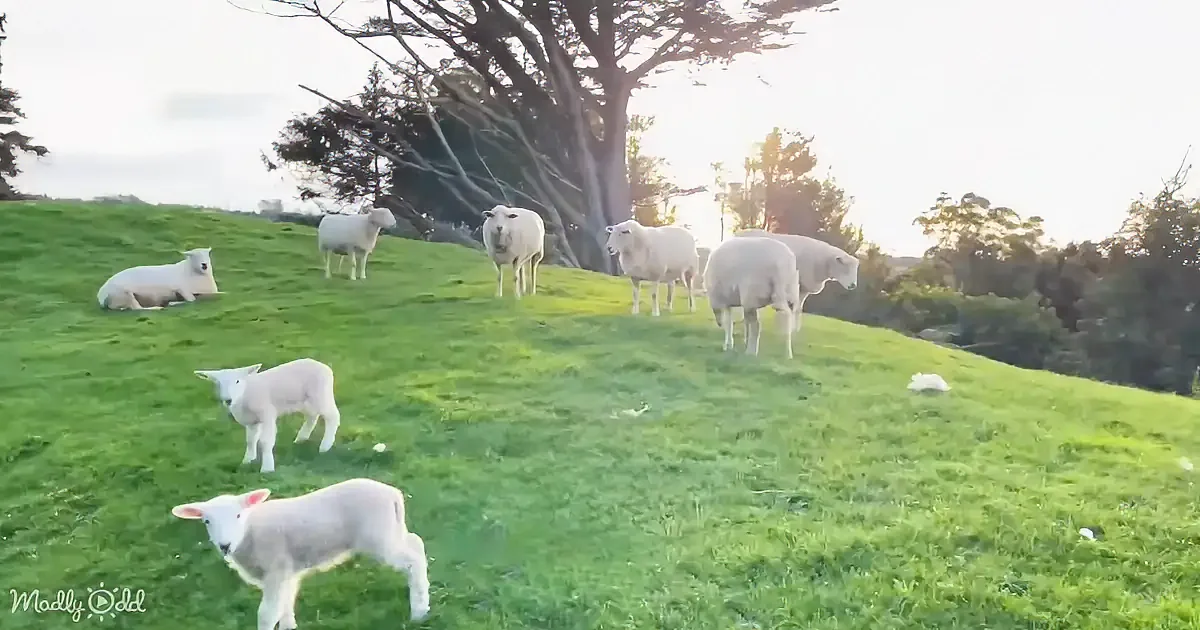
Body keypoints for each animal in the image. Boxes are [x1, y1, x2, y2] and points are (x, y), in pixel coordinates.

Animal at [170, 477, 430, 628]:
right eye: (206, 521)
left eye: (238, 515)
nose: (224, 545)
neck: (250, 532)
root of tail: (393, 494)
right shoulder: (286, 571)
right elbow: (285, 604)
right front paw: (289, 626)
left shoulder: (276, 568)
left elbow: (267, 613)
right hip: (391, 530)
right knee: (416, 543)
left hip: (378, 537)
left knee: (413, 560)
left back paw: (419, 612)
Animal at [192, 358, 340, 474]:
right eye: (217, 383)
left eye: (237, 381)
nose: (227, 400)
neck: (244, 395)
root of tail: (324, 366)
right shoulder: (251, 422)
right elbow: (250, 441)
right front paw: (247, 461)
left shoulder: (267, 414)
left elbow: (265, 441)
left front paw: (267, 468)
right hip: (305, 401)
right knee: (312, 415)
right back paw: (301, 438)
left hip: (321, 394)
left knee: (333, 417)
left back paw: (325, 446)